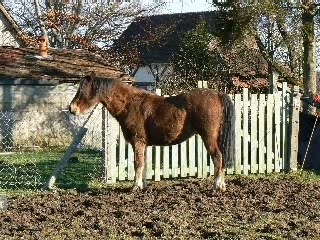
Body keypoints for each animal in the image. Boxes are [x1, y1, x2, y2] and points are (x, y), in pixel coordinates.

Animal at [69, 73, 235, 191]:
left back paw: (217, 186)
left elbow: (138, 163)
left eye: (83, 90)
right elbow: (144, 164)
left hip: (209, 137)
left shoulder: (138, 141)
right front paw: (143, 186)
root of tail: (217, 94)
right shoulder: (144, 144)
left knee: (218, 157)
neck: (129, 104)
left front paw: (135, 187)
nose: (72, 109)